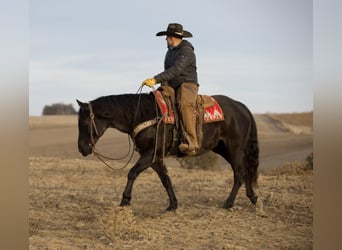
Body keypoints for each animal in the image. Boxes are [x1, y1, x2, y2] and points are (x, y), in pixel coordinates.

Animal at [77, 93, 260, 211]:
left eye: (84, 123)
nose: (81, 148)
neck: (142, 114)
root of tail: (242, 107)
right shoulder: (155, 157)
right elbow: (165, 179)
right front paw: (173, 204)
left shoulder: (150, 154)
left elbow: (132, 172)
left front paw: (125, 200)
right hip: (225, 149)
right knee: (245, 172)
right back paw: (253, 197)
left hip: (234, 149)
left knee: (239, 174)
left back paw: (228, 203)